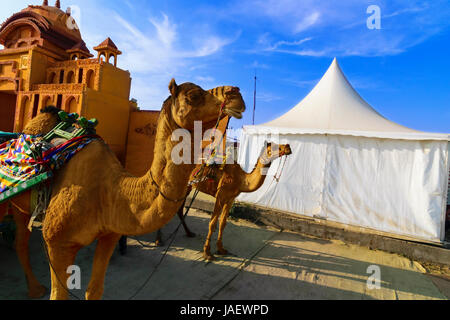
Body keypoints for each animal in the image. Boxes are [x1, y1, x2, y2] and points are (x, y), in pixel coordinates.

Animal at [41, 80, 246, 300]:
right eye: (192, 95)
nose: (236, 93)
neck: (111, 189)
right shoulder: (56, 242)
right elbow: (57, 294)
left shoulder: (109, 235)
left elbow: (94, 290)